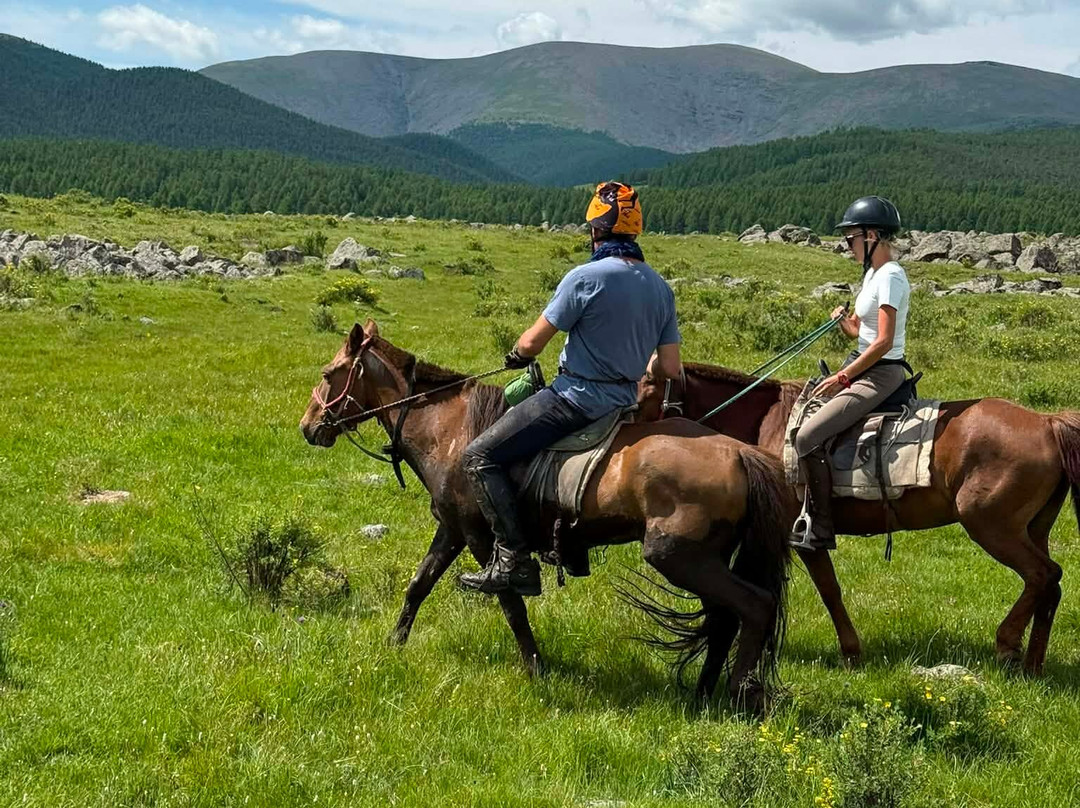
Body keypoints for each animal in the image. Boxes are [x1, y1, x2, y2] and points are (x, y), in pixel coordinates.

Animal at [300, 321, 796, 708]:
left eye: (328, 374)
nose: (308, 427)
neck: (450, 431)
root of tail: (741, 454)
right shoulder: (453, 529)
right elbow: (418, 585)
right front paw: (395, 644)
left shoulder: (484, 539)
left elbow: (511, 603)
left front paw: (536, 669)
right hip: (705, 559)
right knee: (724, 618)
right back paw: (702, 696)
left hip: (678, 557)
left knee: (753, 607)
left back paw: (737, 694)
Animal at [638, 361, 1080, 675]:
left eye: (644, 388)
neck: (768, 425)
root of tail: (1047, 422)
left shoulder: (802, 535)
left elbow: (829, 590)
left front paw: (851, 652)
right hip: (1031, 529)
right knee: (1049, 584)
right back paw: (1033, 663)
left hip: (991, 527)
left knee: (1043, 575)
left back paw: (1007, 644)